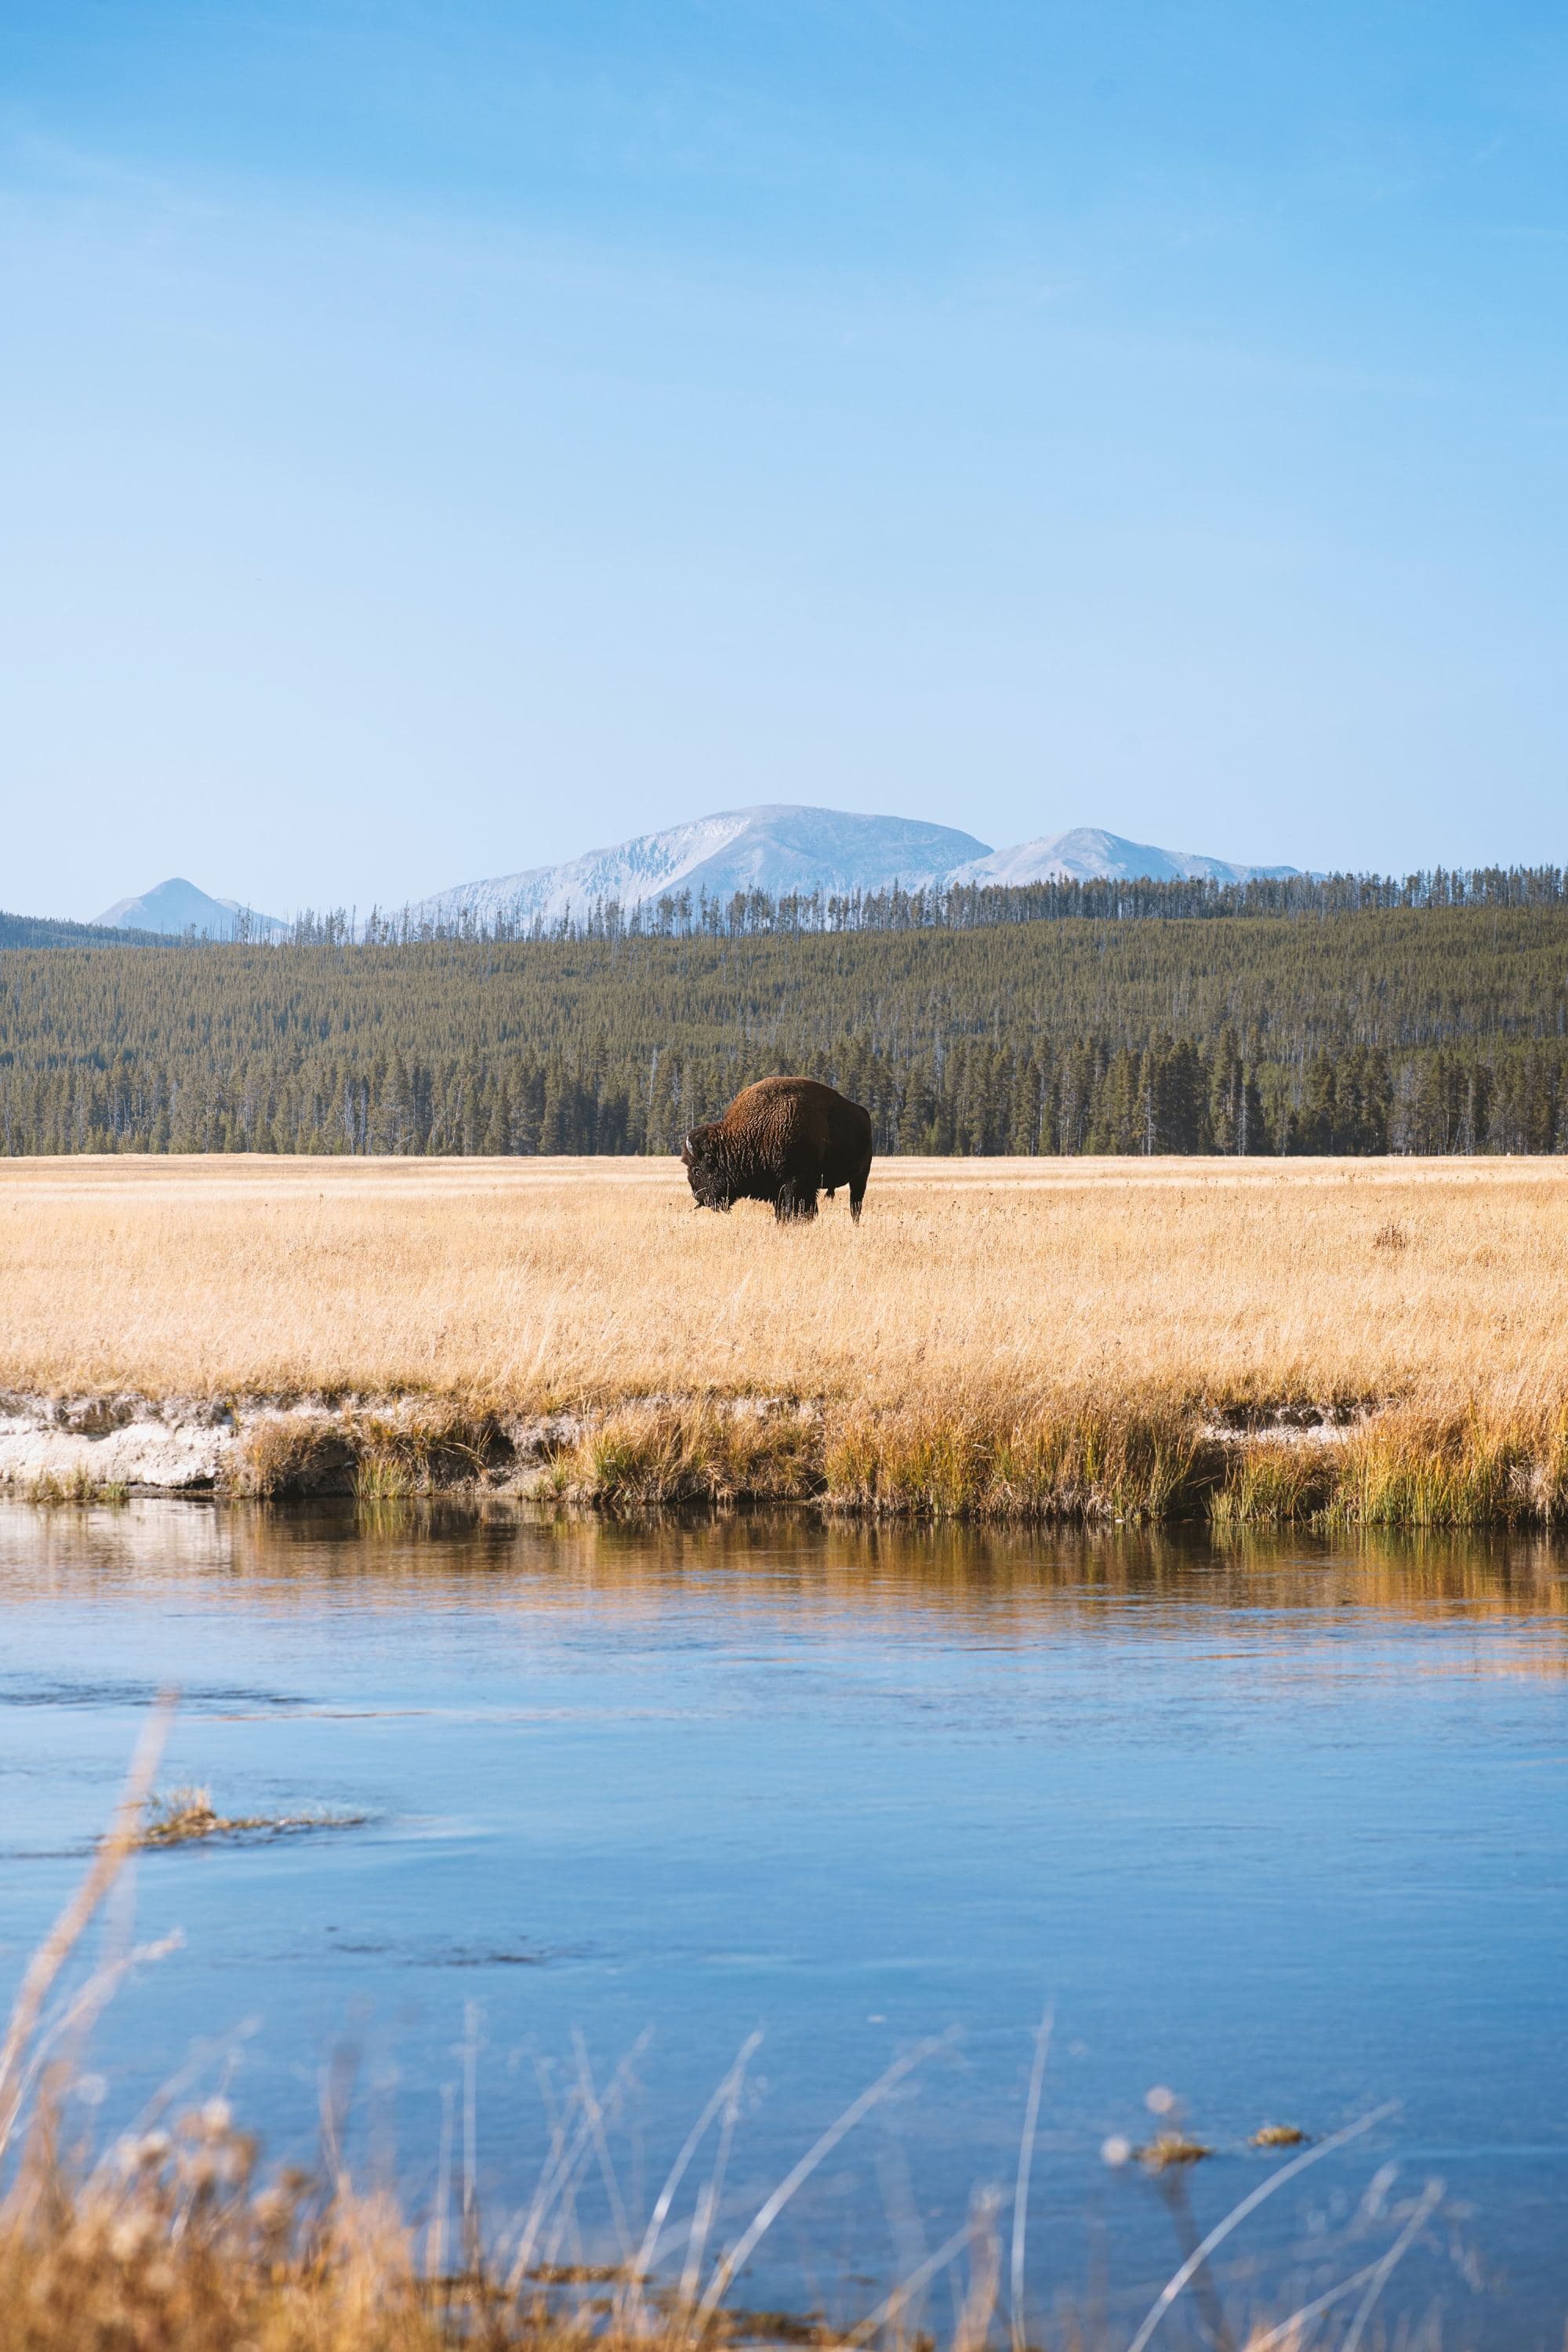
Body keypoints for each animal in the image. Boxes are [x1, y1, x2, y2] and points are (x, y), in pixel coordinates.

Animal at [682, 1076, 873, 1223]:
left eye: (697, 1169)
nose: (697, 1196)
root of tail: (863, 1113)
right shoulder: (779, 1188)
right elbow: (783, 1212)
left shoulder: (795, 1183)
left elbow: (795, 1210)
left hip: (860, 1177)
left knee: (855, 1205)